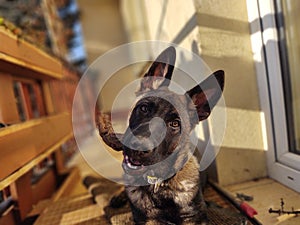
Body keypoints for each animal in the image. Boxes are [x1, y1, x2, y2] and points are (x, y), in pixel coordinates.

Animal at [97, 46, 224, 224]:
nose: (138, 148)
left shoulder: (194, 218)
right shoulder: (149, 219)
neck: (159, 184)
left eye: (175, 124)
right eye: (144, 108)